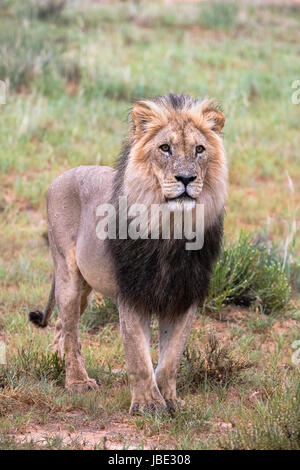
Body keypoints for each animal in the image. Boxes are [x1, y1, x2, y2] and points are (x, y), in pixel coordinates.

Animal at [29, 92, 227, 414]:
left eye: (200, 149)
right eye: (165, 148)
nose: (186, 178)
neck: (170, 227)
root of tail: (62, 176)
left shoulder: (185, 297)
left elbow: (170, 359)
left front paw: (171, 401)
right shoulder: (133, 294)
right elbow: (138, 357)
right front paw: (148, 405)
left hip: (86, 288)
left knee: (61, 325)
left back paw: (59, 363)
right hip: (67, 275)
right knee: (70, 329)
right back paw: (77, 381)